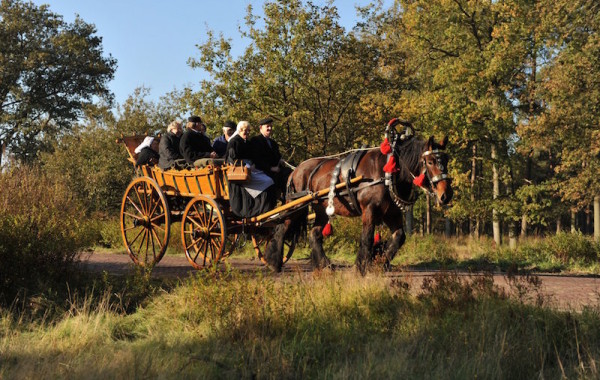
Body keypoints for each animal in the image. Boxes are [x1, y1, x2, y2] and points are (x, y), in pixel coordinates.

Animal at [264, 126, 452, 274]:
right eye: (430, 161)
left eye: (447, 159)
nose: (446, 194)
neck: (387, 174)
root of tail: (296, 171)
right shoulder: (369, 209)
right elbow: (367, 237)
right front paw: (361, 266)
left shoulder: (390, 212)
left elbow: (399, 236)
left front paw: (380, 262)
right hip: (298, 206)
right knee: (282, 227)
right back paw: (273, 262)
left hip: (321, 208)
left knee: (314, 233)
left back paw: (324, 265)